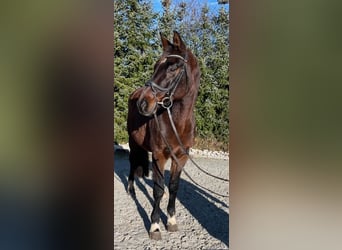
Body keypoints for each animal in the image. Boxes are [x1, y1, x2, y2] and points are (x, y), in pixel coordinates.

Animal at [126, 31, 200, 240]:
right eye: (155, 66)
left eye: (174, 67)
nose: (143, 103)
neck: (177, 123)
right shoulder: (159, 155)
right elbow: (158, 189)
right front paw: (155, 226)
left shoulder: (181, 157)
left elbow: (174, 186)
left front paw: (172, 221)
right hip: (133, 143)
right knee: (132, 163)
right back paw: (131, 189)